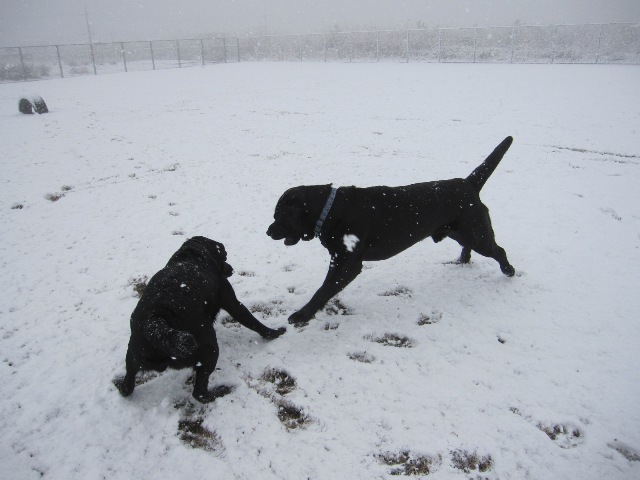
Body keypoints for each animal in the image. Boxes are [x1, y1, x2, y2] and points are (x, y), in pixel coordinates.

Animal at [114, 236, 286, 402]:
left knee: (127, 387)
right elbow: (253, 321)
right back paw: (220, 391)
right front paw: (275, 332)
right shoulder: (231, 301)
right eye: (224, 256)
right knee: (199, 393)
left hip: (133, 356)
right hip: (210, 349)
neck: (191, 257)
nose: (231, 268)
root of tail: (156, 318)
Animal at [268, 137, 516, 324]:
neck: (329, 210)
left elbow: (323, 290)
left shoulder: (347, 263)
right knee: (468, 247)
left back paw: (508, 271)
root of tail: (467, 183)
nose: (268, 232)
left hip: (477, 233)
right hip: (461, 231)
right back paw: (461, 261)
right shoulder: (338, 258)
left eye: (279, 216)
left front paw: (302, 314)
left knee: (499, 251)